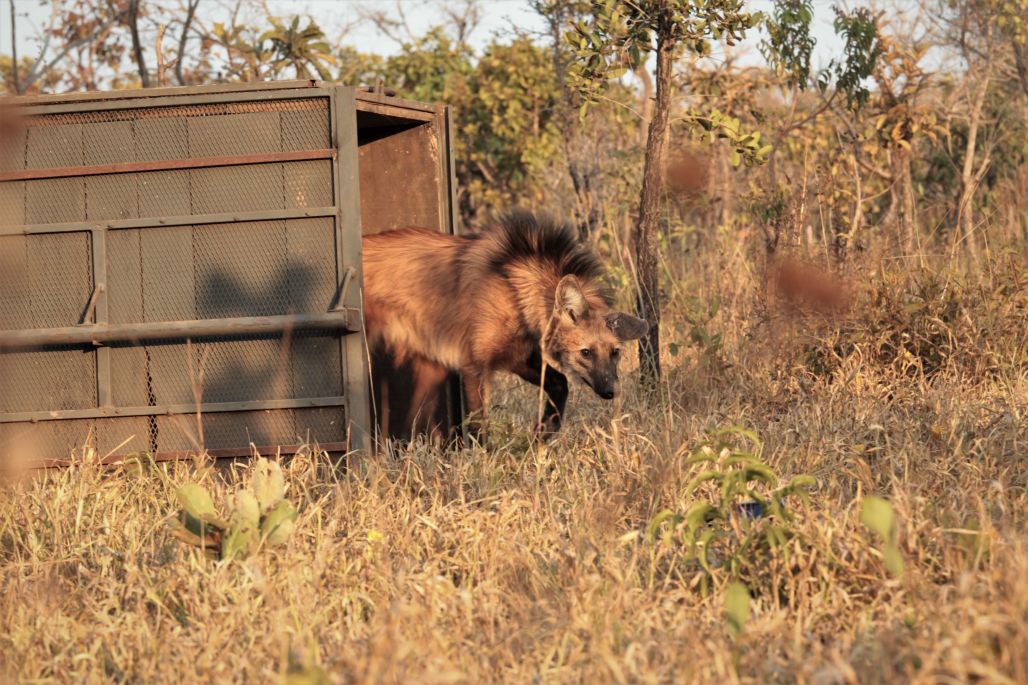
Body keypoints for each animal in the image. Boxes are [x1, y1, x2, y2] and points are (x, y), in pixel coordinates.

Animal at [365, 207, 645, 438]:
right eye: (586, 352)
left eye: (615, 352)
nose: (611, 391)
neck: (515, 293)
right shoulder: (474, 367)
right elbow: (479, 427)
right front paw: (481, 464)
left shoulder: (516, 356)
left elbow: (560, 383)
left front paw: (544, 432)